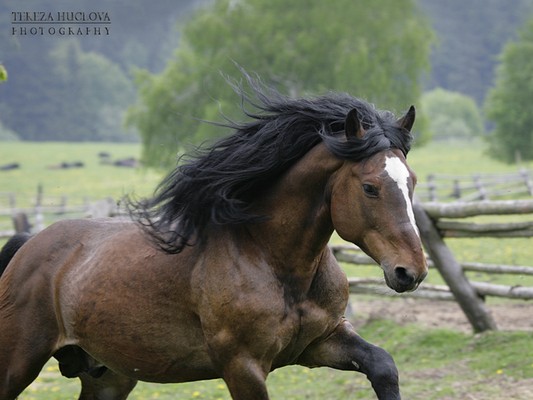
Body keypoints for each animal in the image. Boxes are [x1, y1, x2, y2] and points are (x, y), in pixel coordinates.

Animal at [0, 79, 426, 400]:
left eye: (412, 181)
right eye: (370, 188)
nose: (412, 272)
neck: (273, 260)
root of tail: (29, 245)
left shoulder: (320, 341)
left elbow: (383, 366)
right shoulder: (243, 366)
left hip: (107, 375)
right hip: (17, 363)